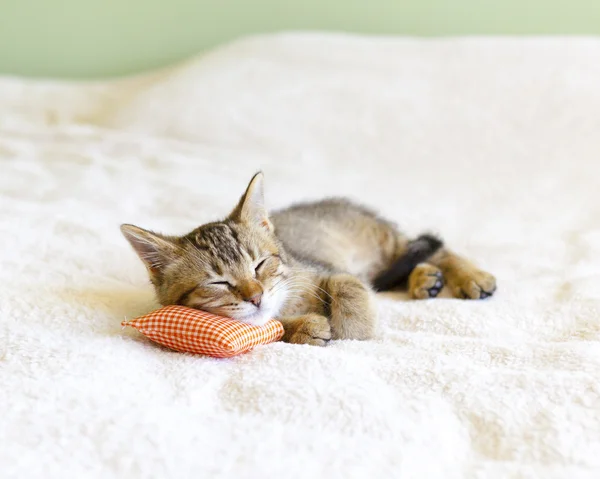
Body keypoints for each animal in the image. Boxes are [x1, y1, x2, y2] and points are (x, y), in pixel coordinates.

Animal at [119, 174, 494, 346]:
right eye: (219, 282)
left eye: (259, 264)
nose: (256, 296)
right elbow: (270, 327)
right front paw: (305, 327)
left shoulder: (323, 270)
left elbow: (348, 286)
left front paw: (354, 330)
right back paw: (423, 280)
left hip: (383, 239)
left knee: (433, 248)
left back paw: (469, 277)